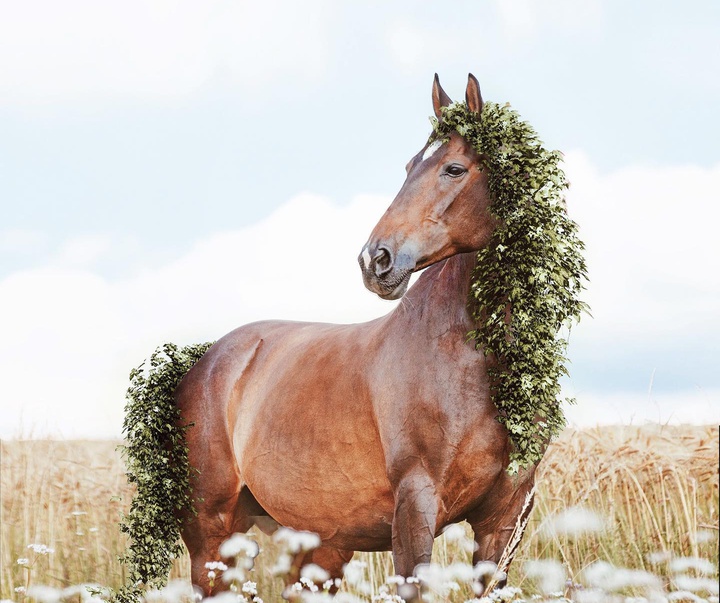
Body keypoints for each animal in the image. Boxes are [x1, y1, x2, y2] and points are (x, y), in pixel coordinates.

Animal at [179, 73, 540, 600]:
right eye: (410, 165)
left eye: (454, 168)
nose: (376, 259)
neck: (472, 358)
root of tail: (205, 362)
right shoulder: (414, 507)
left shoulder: (504, 519)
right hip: (213, 539)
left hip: (318, 548)